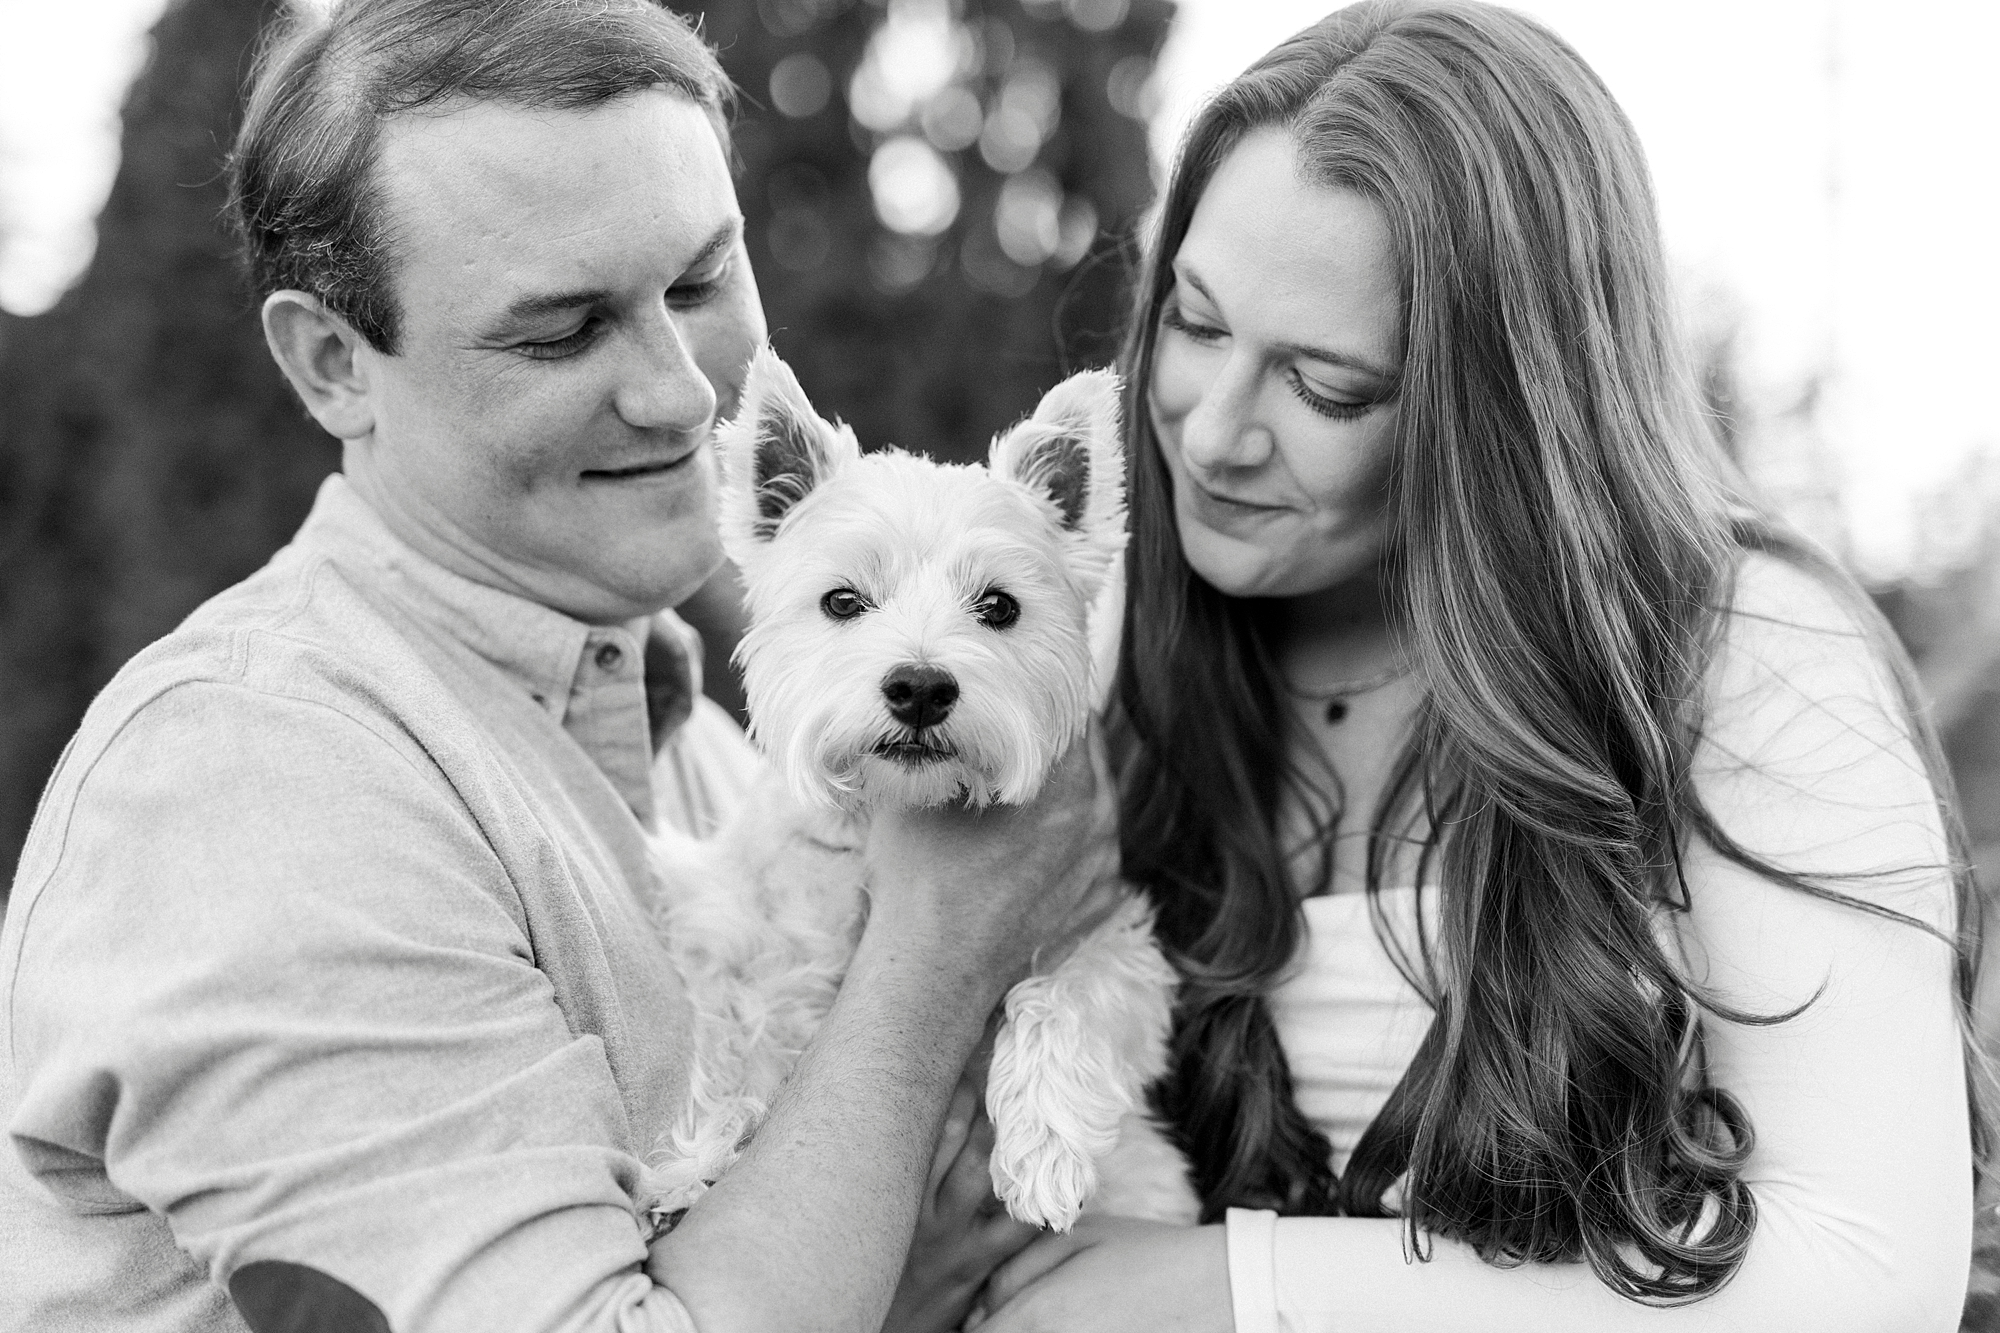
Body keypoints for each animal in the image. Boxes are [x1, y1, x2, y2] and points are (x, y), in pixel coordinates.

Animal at [648, 348, 1192, 1232]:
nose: (921, 687)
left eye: (999, 606)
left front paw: (1045, 1152)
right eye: (843, 600)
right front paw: (695, 1158)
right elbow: (730, 1023)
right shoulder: (728, 923)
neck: (885, 813)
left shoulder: (1114, 937)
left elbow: (1062, 995)